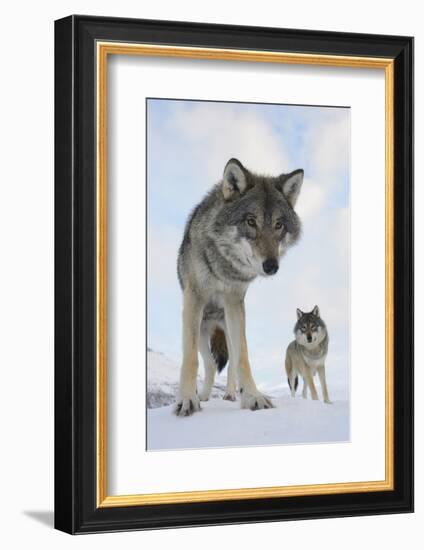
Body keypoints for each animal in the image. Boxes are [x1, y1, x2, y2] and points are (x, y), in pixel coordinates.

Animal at [174, 160, 304, 418]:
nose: (271, 266)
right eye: (251, 221)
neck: (223, 266)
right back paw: (204, 396)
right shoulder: (194, 299)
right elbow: (190, 359)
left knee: (231, 362)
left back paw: (231, 395)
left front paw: (253, 397)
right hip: (202, 330)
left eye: (279, 225)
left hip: (227, 328)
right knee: (210, 364)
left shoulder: (235, 302)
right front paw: (187, 399)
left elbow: (243, 358)